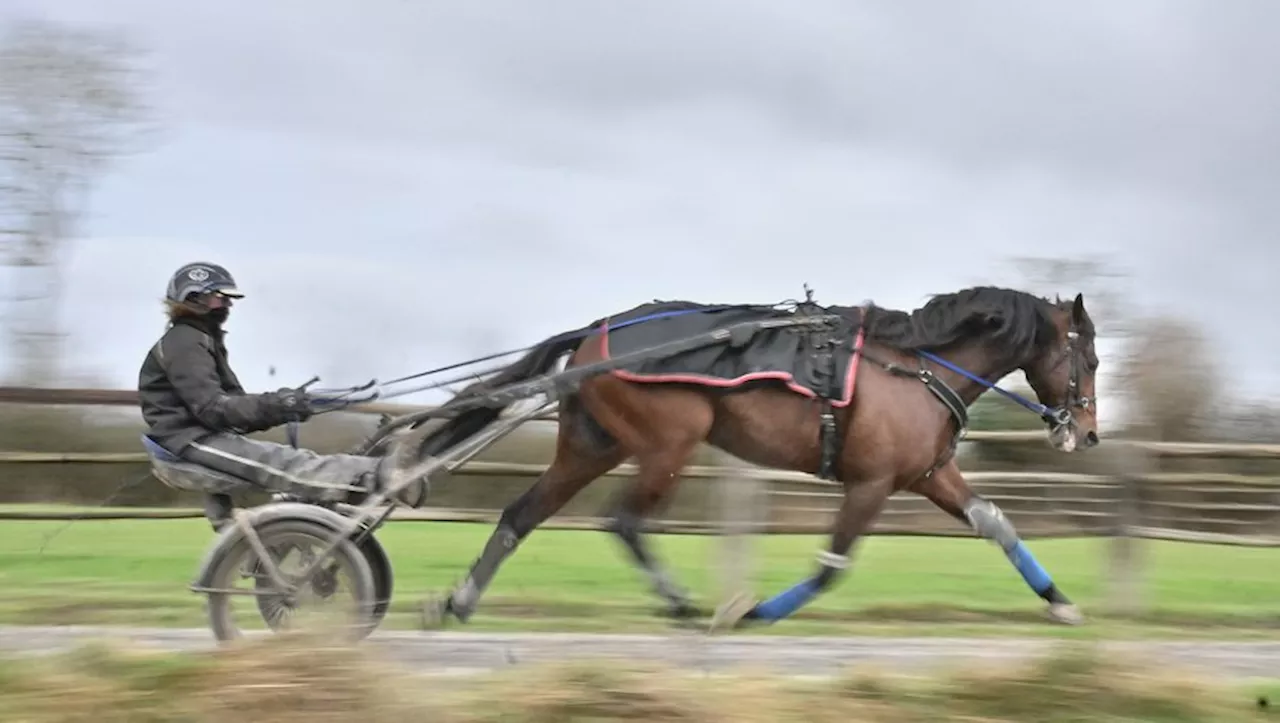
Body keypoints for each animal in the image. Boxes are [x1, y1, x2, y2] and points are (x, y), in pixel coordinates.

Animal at [409, 285, 1100, 629]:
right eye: (1089, 357)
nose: (1088, 433)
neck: (917, 367)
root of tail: (597, 331)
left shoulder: (929, 476)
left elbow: (996, 524)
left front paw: (1061, 602)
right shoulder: (871, 483)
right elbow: (831, 566)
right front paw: (756, 611)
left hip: (591, 445)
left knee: (521, 514)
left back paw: (460, 601)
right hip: (668, 443)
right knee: (625, 520)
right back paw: (682, 603)